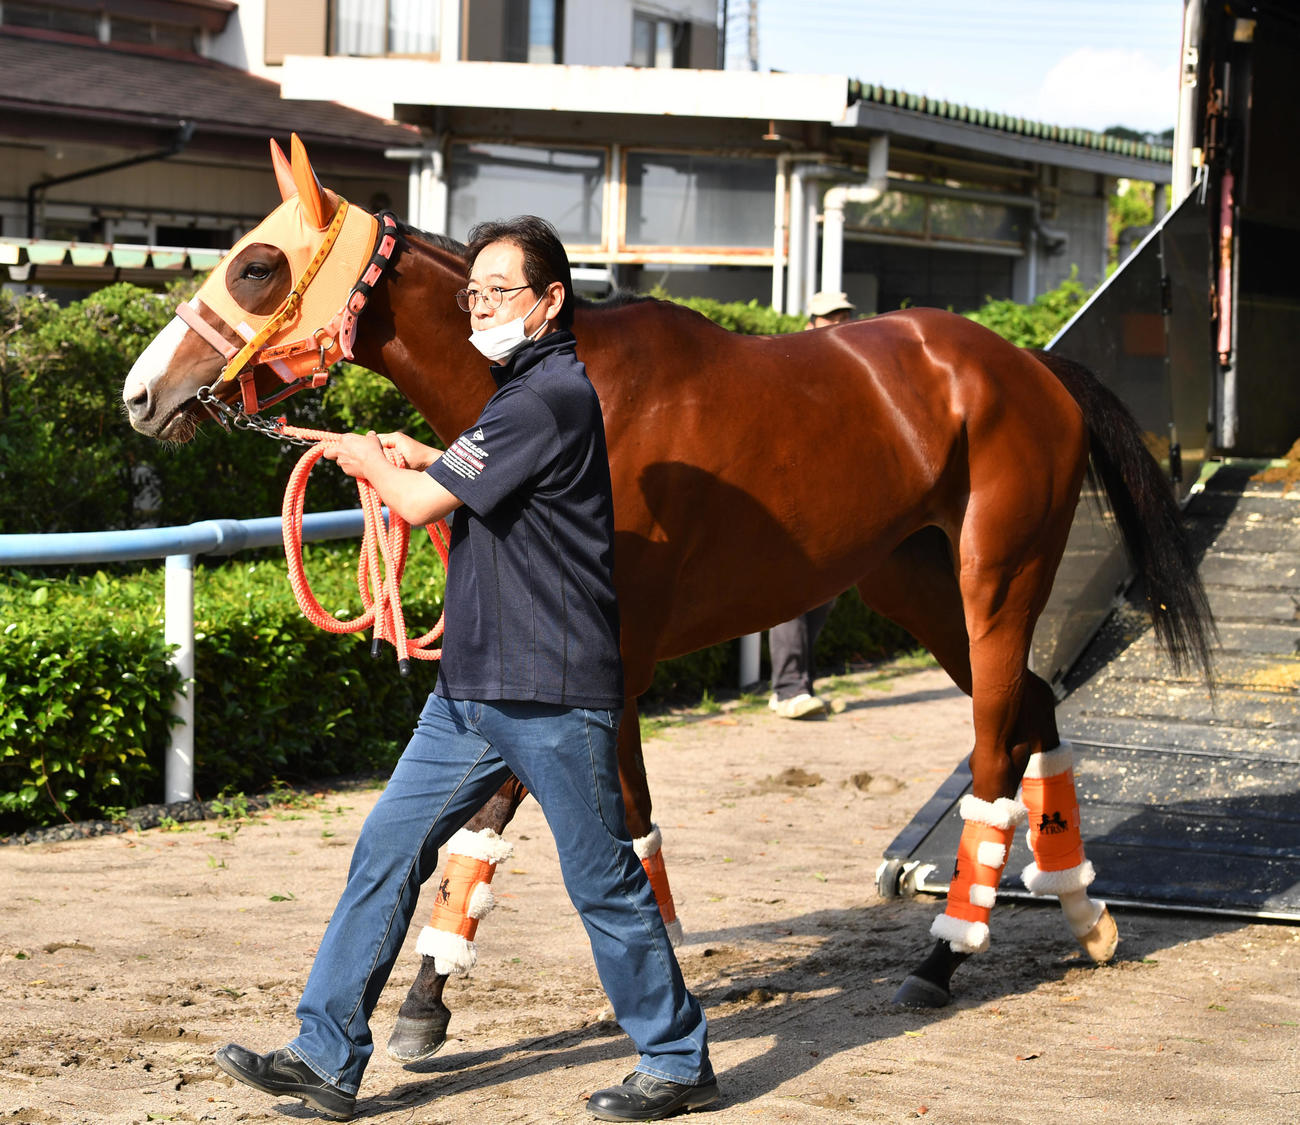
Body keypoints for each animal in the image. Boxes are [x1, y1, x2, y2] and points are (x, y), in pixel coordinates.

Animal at [122, 135, 1215, 1060]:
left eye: (256, 266)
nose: (140, 394)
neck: (581, 387)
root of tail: (1032, 365)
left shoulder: (597, 660)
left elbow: (510, 813)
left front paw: (432, 998)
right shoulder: (604, 666)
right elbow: (604, 818)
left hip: (998, 578)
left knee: (996, 742)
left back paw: (944, 957)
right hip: (909, 581)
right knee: (1033, 706)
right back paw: (1084, 914)